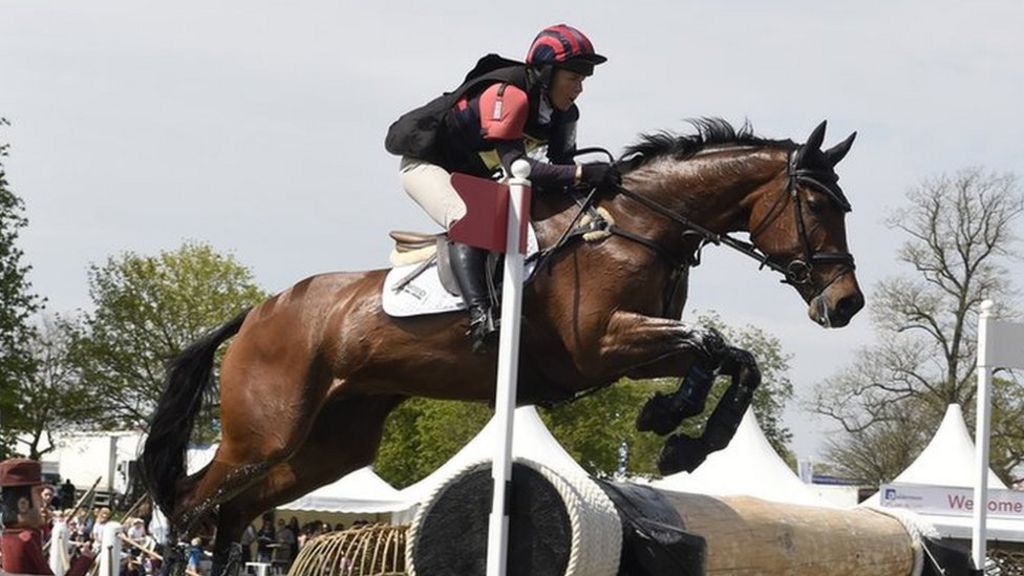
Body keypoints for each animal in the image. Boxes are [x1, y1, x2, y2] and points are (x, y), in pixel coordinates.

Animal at [141, 118, 864, 576]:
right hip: (265, 432)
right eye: (817, 205)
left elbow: (736, 359)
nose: (846, 304)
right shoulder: (603, 343)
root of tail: (257, 312)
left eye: (843, 205)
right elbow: (711, 344)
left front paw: (686, 440)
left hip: (332, 443)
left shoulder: (640, 349)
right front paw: (672, 422)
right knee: (189, 504)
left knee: (234, 512)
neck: (639, 225)